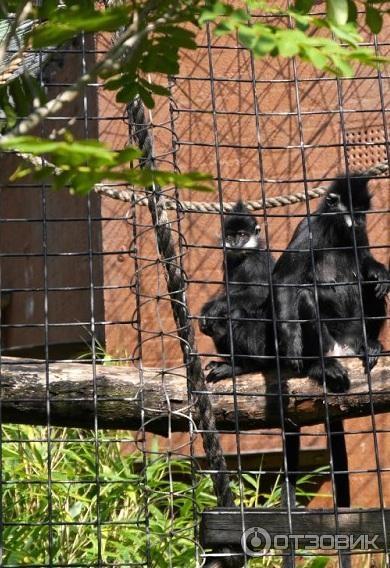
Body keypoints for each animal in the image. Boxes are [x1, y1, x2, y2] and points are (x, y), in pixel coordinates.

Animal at [200, 200, 276, 382]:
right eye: (230, 236)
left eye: (242, 235)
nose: (235, 243)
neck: (243, 255)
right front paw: (206, 309)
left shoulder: (257, 260)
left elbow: (260, 294)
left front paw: (215, 308)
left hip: (263, 346)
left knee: (235, 313)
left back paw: (244, 366)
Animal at [272, 173, 388, 532]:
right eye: (352, 209)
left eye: (364, 211)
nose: (359, 220)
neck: (337, 232)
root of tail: (345, 346)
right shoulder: (309, 229)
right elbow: (286, 281)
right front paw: (291, 343)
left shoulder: (357, 236)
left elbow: (367, 265)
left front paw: (379, 269)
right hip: (327, 340)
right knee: (306, 294)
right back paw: (321, 366)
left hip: (355, 332)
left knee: (373, 288)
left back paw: (370, 345)